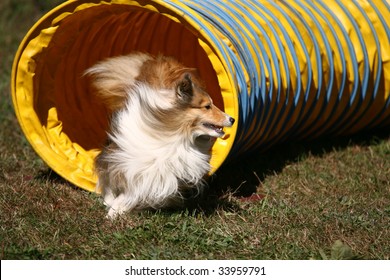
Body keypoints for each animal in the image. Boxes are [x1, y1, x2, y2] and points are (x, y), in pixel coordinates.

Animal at [85, 53, 235, 219]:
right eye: (207, 106)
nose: (232, 119)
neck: (176, 134)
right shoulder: (122, 156)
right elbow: (114, 180)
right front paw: (111, 204)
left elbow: (140, 189)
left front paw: (118, 208)